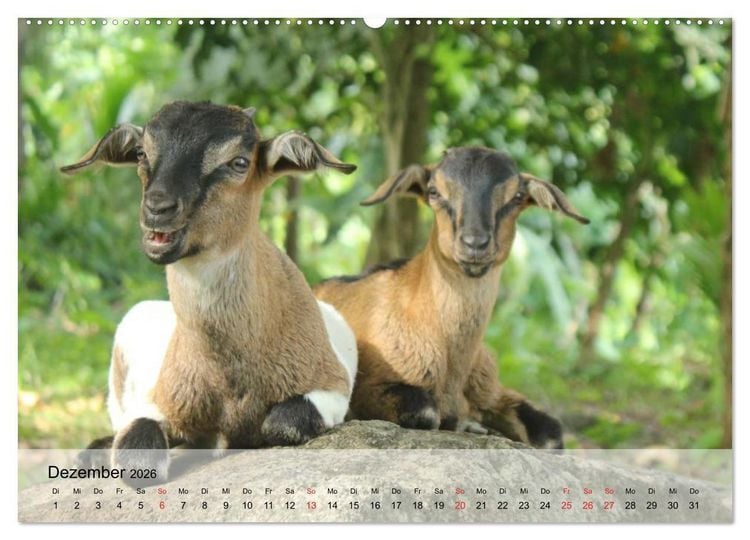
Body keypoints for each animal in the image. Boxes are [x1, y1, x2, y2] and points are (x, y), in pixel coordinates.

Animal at [61, 101, 358, 482]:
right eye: (142, 153)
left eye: (239, 162)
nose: (158, 208)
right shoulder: (159, 401)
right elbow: (137, 456)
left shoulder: (332, 386)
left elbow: (282, 423)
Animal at [314, 147, 589, 448]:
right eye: (434, 192)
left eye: (517, 196)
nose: (475, 244)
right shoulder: (371, 387)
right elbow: (426, 413)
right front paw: (470, 424)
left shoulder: (492, 391)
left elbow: (550, 431)